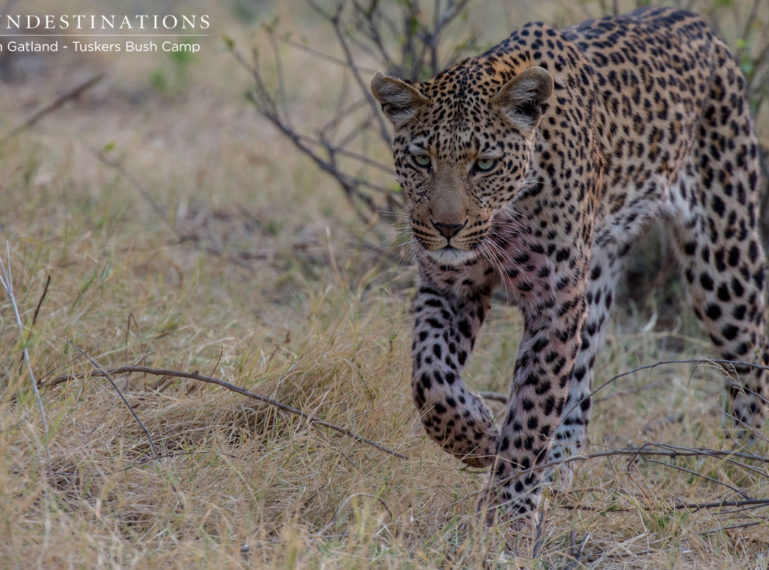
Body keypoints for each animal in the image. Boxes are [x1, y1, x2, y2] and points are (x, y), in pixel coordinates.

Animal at [368, 5, 764, 528]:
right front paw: (479, 436)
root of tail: (693, 19)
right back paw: (556, 471)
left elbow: (532, 409)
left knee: (750, 361)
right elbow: (430, 380)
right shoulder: (450, 286)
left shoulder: (554, 304)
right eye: (421, 159)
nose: (447, 226)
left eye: (484, 163)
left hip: (724, 259)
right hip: (595, 278)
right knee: (580, 385)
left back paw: (746, 464)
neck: (507, 215)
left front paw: (509, 514)